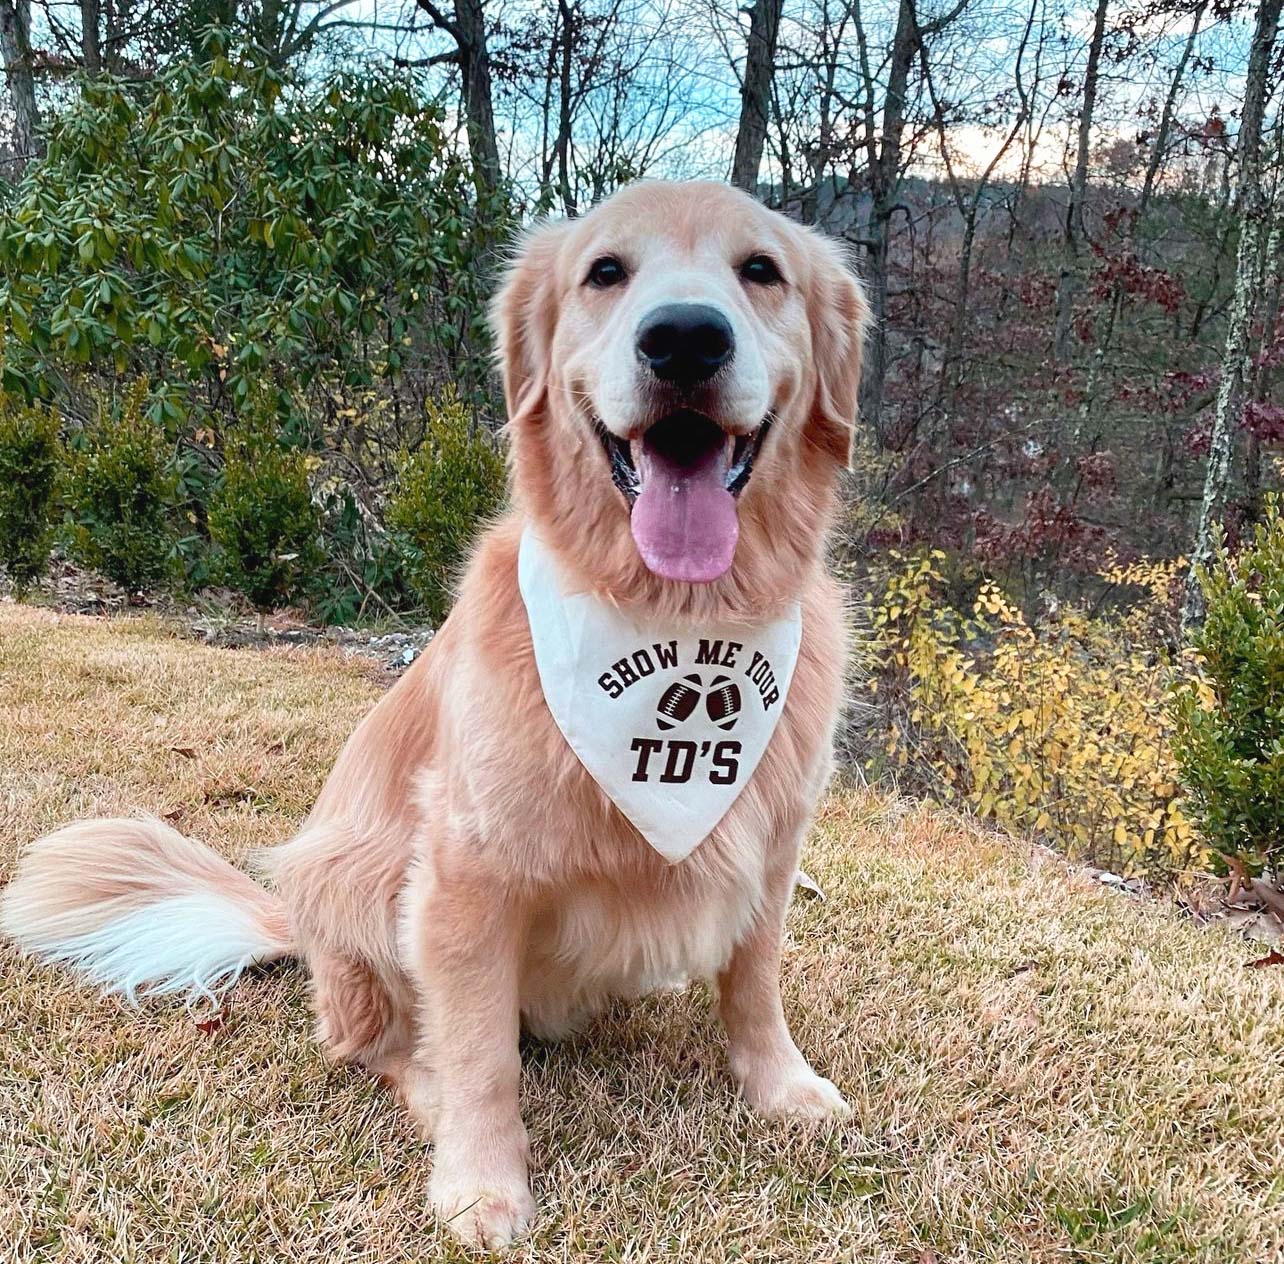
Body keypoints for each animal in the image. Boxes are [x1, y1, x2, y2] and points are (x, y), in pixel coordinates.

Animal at [0, 182, 867, 1248]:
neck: (681, 618)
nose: (685, 339)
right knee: (371, 1043)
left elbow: (754, 983)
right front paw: (481, 1184)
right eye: (606, 272)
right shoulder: (465, 874)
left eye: (761, 271)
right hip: (359, 875)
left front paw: (781, 1089)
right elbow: (480, 1055)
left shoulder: (773, 847)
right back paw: (420, 1084)